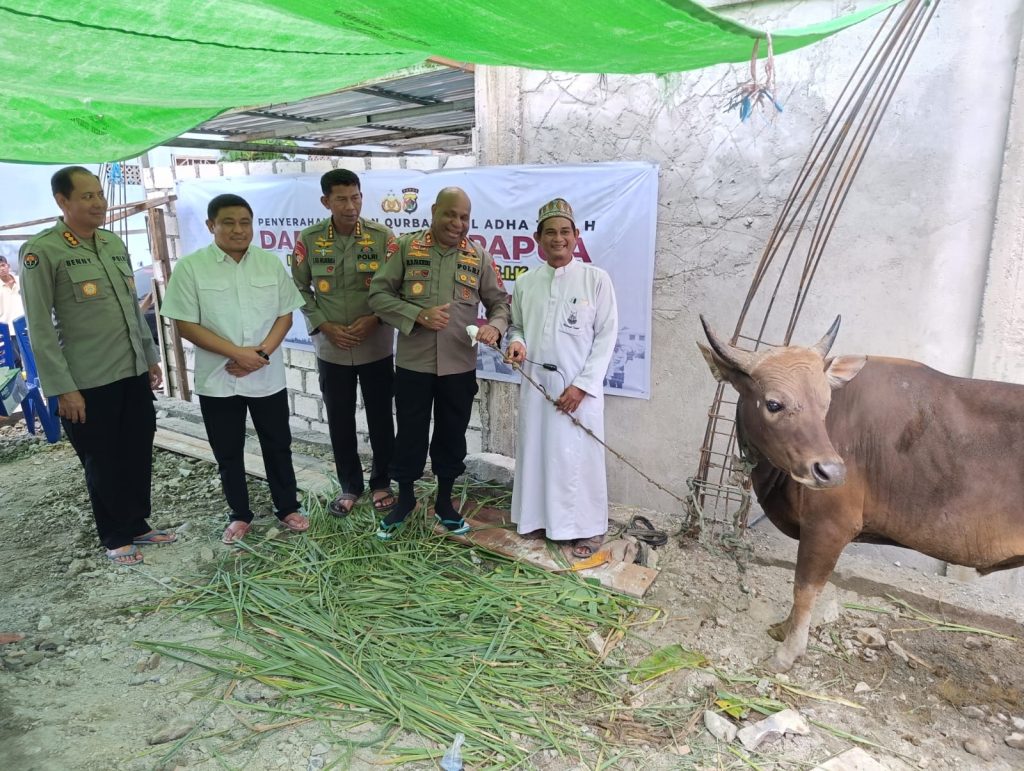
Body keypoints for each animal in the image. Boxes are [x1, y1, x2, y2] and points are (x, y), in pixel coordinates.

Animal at [696, 315, 1024, 671]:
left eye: (825, 403)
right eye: (774, 403)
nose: (831, 472)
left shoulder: (830, 526)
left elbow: (804, 589)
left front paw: (787, 653)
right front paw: (783, 629)